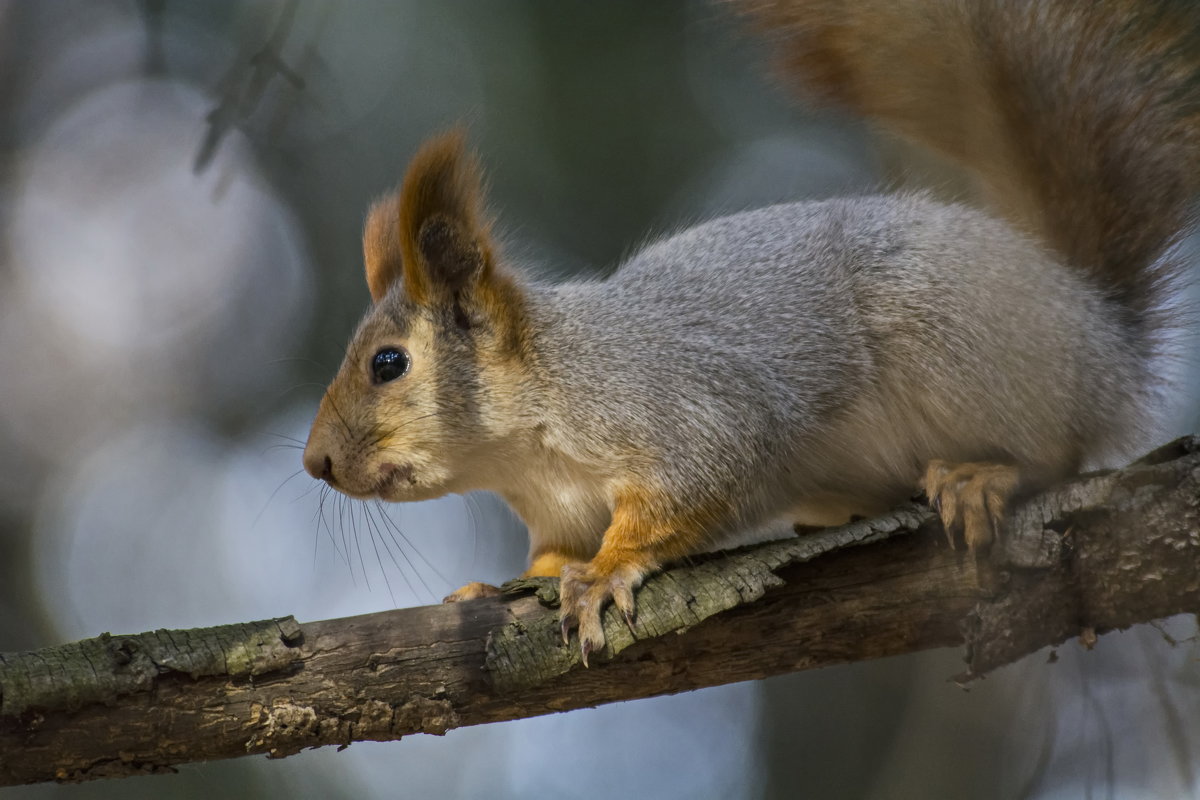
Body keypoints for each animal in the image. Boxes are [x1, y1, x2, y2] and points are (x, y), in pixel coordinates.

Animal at [302, 1, 1200, 662]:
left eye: (389, 363)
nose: (316, 463)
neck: (526, 446)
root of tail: (1094, 325)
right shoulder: (556, 510)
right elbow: (549, 555)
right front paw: (502, 585)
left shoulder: (684, 411)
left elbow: (692, 486)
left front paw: (604, 573)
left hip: (956, 339)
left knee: (1059, 450)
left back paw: (980, 476)